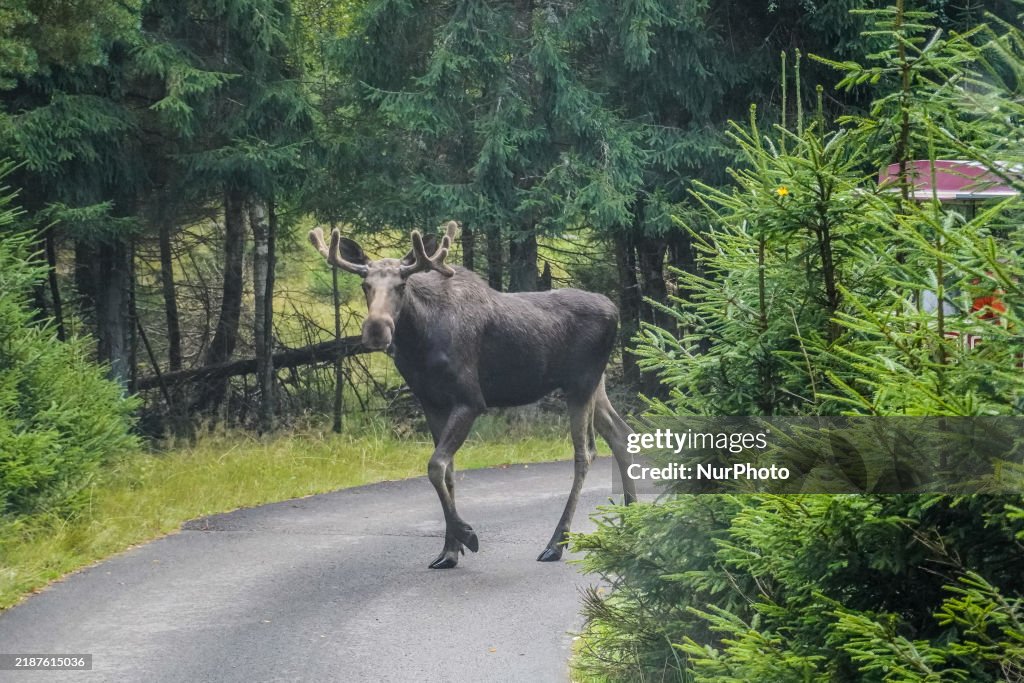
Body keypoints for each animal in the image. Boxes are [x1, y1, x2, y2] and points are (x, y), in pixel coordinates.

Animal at [309, 221, 637, 569]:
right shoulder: (431, 402)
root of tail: (616, 310)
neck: (418, 343)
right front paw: (449, 550)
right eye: (365, 285)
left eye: (401, 285)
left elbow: (436, 465)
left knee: (585, 453)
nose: (376, 329)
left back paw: (556, 543)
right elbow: (448, 470)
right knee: (621, 434)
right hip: (595, 385)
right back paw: (630, 518)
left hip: (580, 384)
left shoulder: (470, 400)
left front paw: (466, 534)